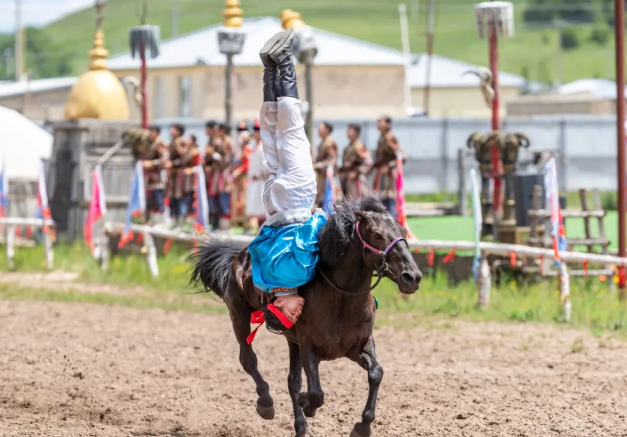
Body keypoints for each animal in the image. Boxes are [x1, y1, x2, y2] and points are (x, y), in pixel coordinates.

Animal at [189, 195, 424, 436]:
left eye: (403, 232)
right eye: (377, 234)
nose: (412, 277)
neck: (342, 299)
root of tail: (237, 257)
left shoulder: (358, 346)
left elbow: (376, 373)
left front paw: (362, 426)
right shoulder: (310, 348)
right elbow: (315, 393)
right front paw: (306, 404)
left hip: (292, 341)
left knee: (292, 380)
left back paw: (300, 427)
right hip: (239, 316)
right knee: (249, 360)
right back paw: (266, 402)